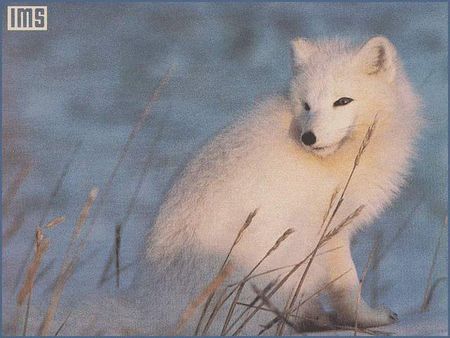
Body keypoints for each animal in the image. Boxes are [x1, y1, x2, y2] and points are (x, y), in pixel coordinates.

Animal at [65, 35, 420, 334]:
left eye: (343, 101)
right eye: (306, 104)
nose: (308, 137)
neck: (339, 158)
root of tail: (156, 308)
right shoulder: (330, 231)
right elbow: (348, 285)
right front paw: (369, 318)